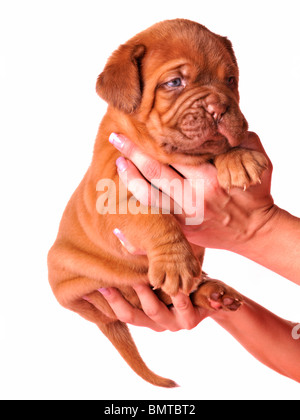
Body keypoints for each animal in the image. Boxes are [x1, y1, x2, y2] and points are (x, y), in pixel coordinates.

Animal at [48, 19, 268, 388]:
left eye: (230, 80)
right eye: (174, 83)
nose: (220, 108)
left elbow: (218, 148)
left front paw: (238, 157)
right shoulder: (113, 191)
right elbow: (151, 216)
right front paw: (175, 262)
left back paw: (212, 292)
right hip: (95, 283)